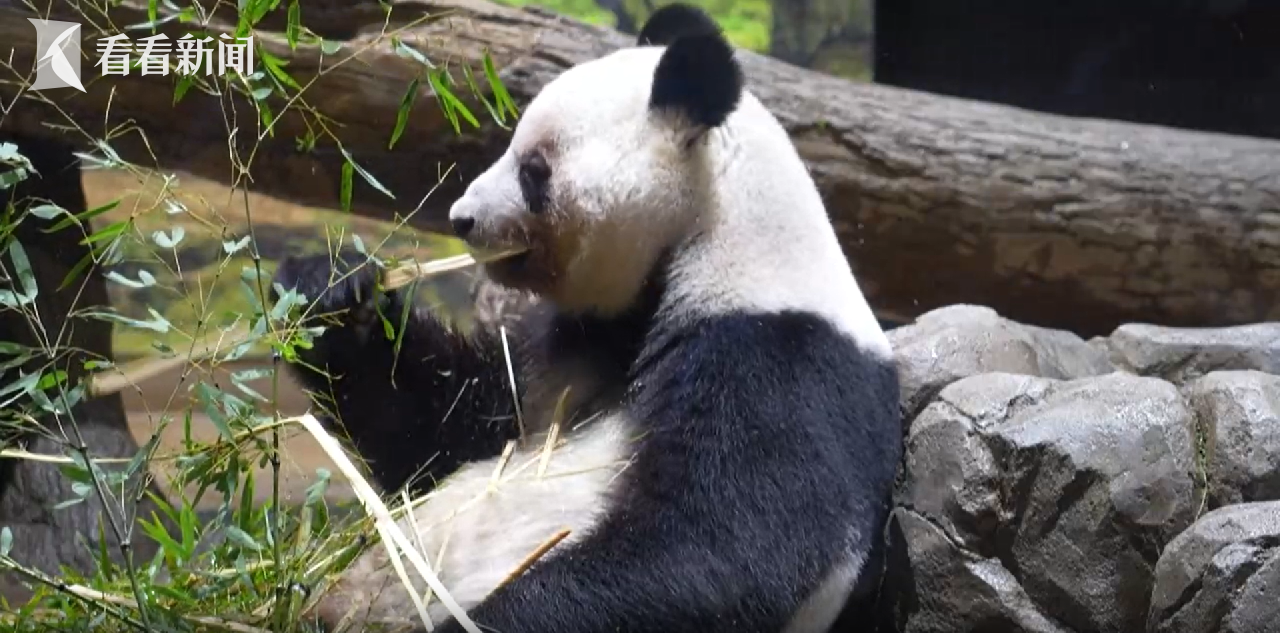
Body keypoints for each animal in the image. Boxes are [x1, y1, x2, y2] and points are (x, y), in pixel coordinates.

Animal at [270, 4, 902, 632]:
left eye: (533, 168)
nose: (462, 218)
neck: (707, 237)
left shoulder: (774, 356)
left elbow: (721, 554)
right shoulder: (570, 343)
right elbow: (446, 432)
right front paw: (331, 291)